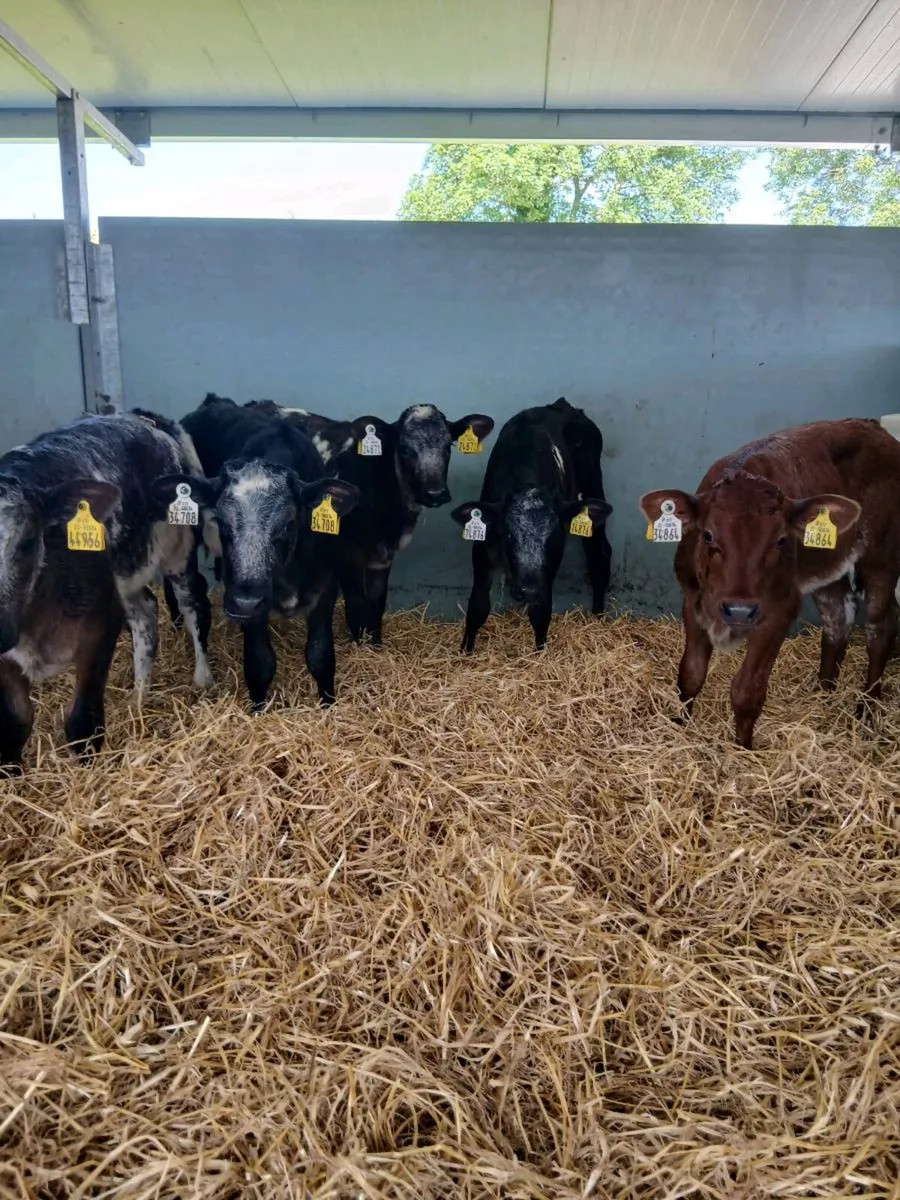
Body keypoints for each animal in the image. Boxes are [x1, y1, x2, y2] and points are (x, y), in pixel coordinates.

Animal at [0, 410, 213, 772]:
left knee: (192, 603)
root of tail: (144, 418)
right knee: (146, 614)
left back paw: (202, 678)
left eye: (27, 542)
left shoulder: (99, 628)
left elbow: (82, 722)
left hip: (178, 548)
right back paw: (138, 698)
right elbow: (14, 723)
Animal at [154, 408, 359, 710]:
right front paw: (258, 710)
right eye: (222, 523)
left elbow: (321, 656)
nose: (245, 602)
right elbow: (260, 663)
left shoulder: (325, 586)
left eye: (287, 525)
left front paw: (328, 705)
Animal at [242, 397, 496, 646]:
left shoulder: (382, 558)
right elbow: (357, 605)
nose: (435, 493)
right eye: (404, 449)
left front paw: (376, 644)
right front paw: (360, 644)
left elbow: (376, 602)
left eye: (447, 447)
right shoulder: (346, 554)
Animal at [449, 398, 614, 652]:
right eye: (507, 535)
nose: (529, 589)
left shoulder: (550, 568)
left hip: (593, 483)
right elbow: (477, 606)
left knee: (599, 552)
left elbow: (541, 612)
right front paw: (465, 652)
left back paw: (597, 616)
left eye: (554, 537)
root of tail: (562, 405)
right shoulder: (482, 548)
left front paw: (540, 653)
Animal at [640, 418, 900, 750]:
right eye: (708, 535)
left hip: (882, 556)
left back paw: (866, 709)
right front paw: (681, 725)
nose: (739, 610)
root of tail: (874, 427)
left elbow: (747, 690)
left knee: (881, 626)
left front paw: (742, 749)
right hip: (829, 567)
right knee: (838, 617)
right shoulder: (692, 599)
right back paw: (823, 694)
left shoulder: (779, 609)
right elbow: (690, 673)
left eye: (780, 540)